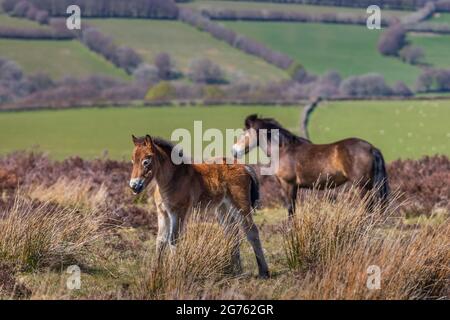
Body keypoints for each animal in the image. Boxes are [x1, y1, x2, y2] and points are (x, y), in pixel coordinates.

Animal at [232, 115, 390, 218]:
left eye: (244, 133)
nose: (234, 151)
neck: (284, 149)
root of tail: (372, 148)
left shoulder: (288, 185)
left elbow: (290, 209)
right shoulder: (294, 187)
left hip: (362, 186)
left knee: (367, 207)